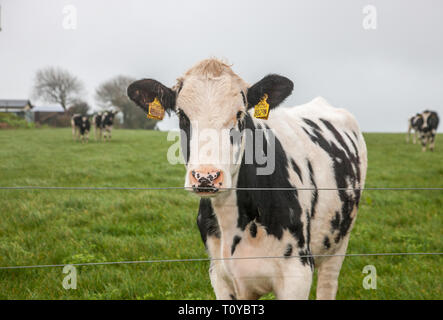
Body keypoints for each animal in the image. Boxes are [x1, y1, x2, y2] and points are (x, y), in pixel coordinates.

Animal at [127, 58, 368, 300]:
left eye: (240, 114)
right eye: (182, 115)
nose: (206, 177)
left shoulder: (297, 273)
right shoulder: (220, 275)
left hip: (338, 244)